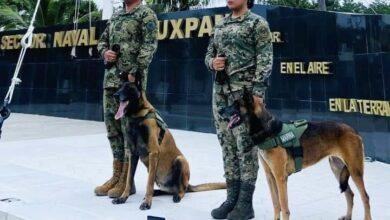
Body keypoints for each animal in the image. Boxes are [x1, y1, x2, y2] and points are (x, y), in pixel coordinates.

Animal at [111, 82, 227, 210]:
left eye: (128, 88)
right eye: (120, 87)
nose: (115, 95)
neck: (137, 116)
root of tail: (188, 185)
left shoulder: (153, 153)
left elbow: (148, 183)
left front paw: (147, 203)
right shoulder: (133, 155)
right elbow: (129, 180)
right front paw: (123, 198)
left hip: (180, 160)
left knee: (181, 190)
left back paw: (176, 196)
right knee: (167, 190)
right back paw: (157, 192)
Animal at [227, 89, 374, 220]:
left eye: (236, 105)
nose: (222, 110)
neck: (267, 129)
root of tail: (353, 130)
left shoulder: (280, 178)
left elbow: (284, 207)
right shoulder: (270, 176)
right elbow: (276, 205)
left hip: (354, 171)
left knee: (365, 197)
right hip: (337, 169)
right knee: (350, 194)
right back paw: (348, 216)